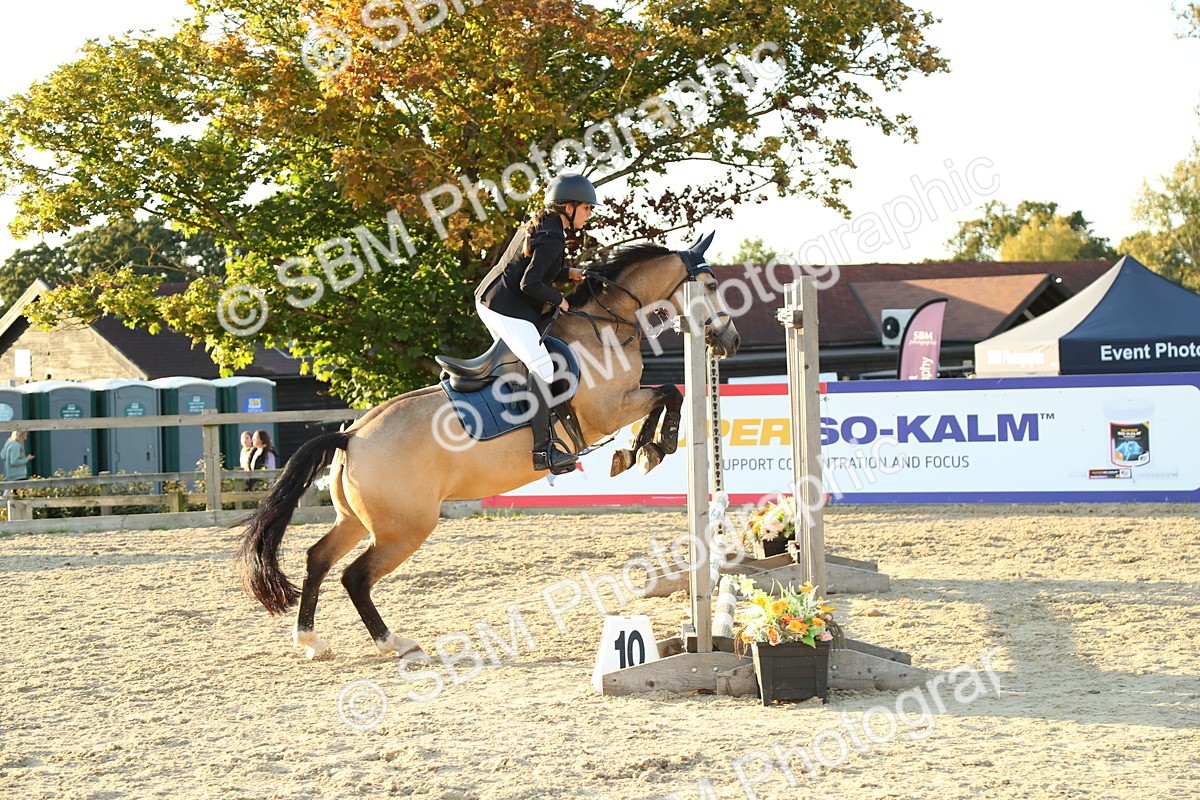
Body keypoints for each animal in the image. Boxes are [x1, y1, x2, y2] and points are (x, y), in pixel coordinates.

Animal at [236, 234, 740, 659]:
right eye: (712, 284)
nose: (730, 341)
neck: (603, 328)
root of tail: (351, 435)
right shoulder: (608, 410)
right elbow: (668, 393)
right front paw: (652, 447)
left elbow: (664, 396)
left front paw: (638, 451)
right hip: (405, 528)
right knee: (355, 576)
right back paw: (393, 642)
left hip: (357, 520)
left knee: (317, 559)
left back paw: (310, 640)